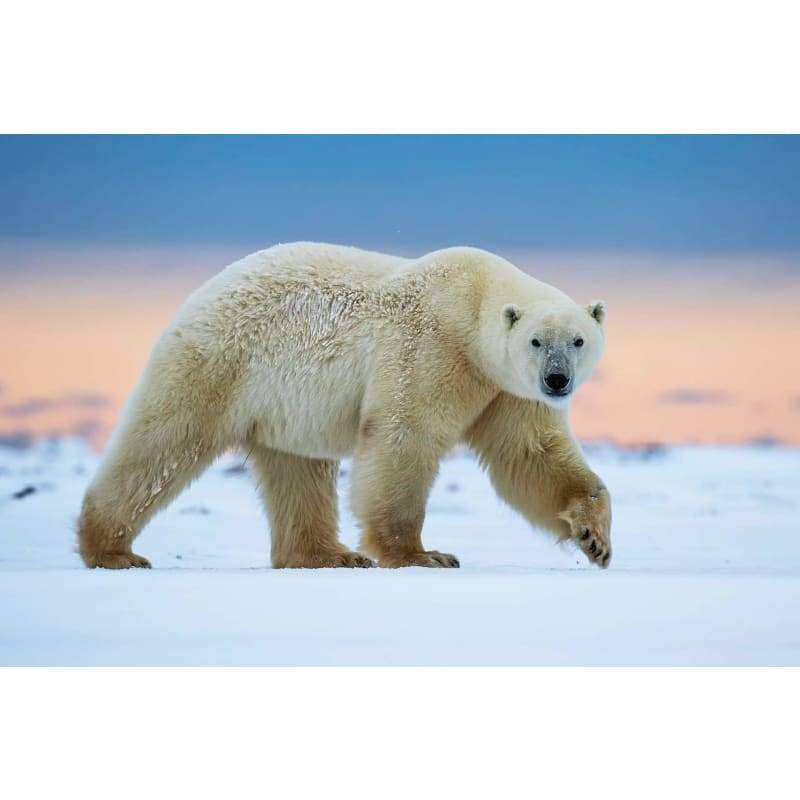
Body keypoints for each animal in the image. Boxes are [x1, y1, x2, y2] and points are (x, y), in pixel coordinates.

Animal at [77, 243, 612, 570]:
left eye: (578, 340)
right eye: (537, 341)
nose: (557, 380)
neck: (472, 302)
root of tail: (199, 296)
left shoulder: (505, 390)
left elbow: (529, 454)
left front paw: (595, 539)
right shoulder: (432, 347)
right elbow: (404, 436)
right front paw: (423, 554)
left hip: (286, 405)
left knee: (299, 471)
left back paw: (325, 554)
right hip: (221, 362)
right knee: (163, 444)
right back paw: (113, 550)